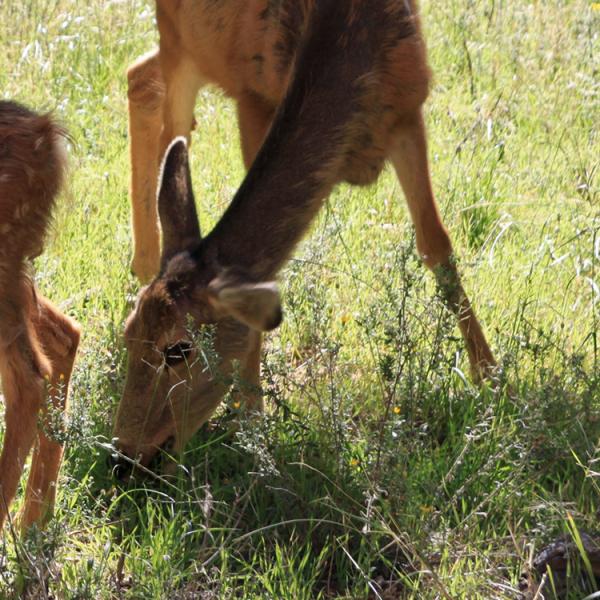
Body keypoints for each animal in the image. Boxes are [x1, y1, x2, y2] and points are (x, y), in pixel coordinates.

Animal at [113, 2, 496, 476]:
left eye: (178, 349)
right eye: (128, 336)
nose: (122, 459)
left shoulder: (408, 112)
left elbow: (435, 242)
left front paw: (491, 378)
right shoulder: (255, 99)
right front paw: (252, 423)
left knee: (143, 80)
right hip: (179, 39)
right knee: (163, 105)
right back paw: (146, 260)